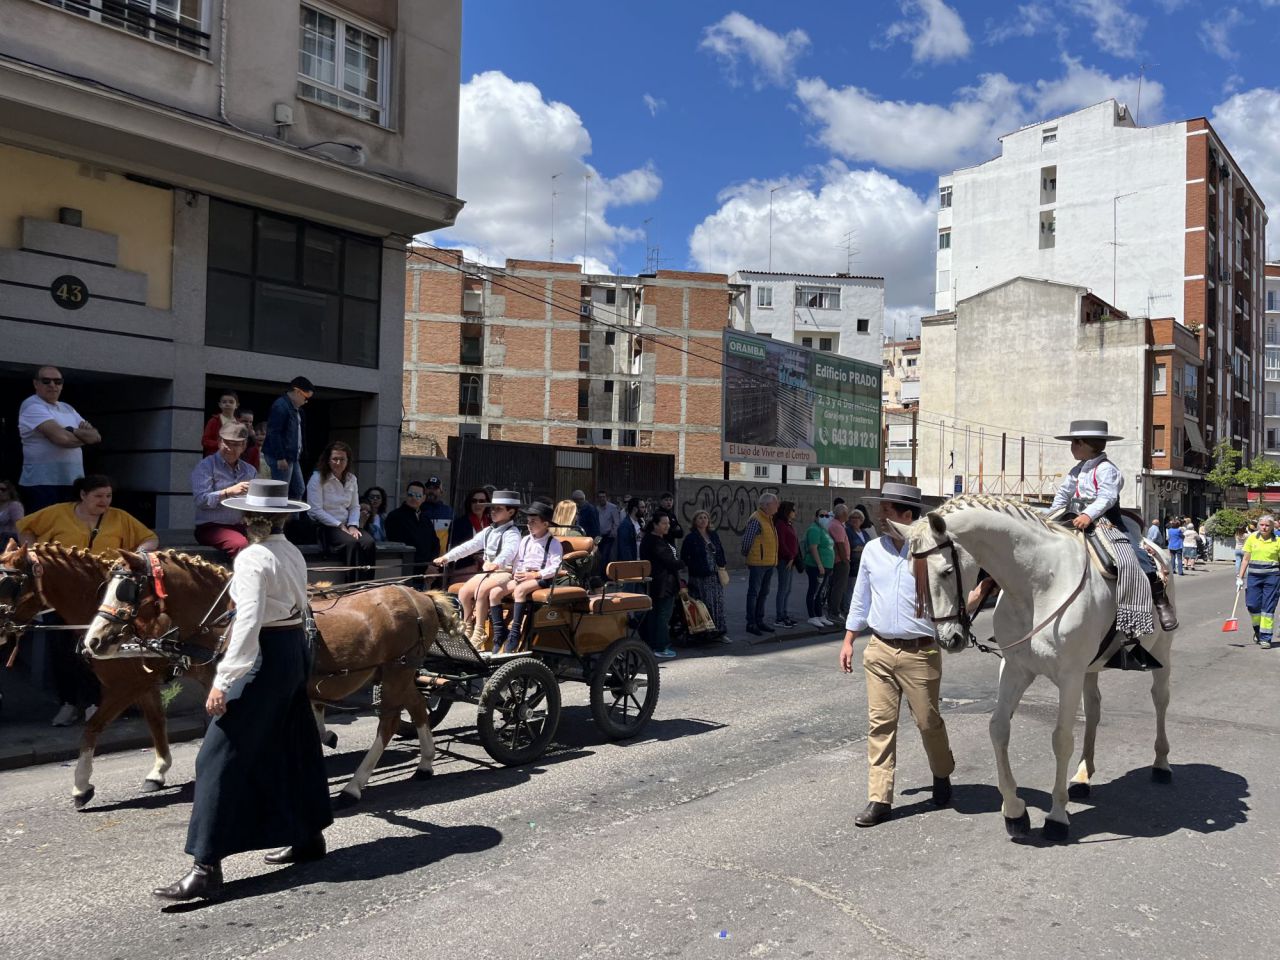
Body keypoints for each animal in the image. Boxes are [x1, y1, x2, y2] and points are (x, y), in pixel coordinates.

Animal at [0, 537, 207, 808]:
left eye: (7, 583)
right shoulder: (143, 683)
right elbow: (155, 721)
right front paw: (158, 771)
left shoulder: (126, 686)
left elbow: (92, 727)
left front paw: (81, 786)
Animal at [81, 547, 460, 803]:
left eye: (127, 590)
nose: (92, 641)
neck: (229, 623)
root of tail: (420, 595)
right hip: (400, 670)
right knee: (418, 706)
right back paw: (425, 763)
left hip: (397, 669)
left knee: (390, 721)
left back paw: (355, 785)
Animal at [896, 496, 1172, 839]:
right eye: (912, 573)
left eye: (947, 571)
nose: (949, 639)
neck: (1039, 583)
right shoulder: (1015, 668)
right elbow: (998, 728)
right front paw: (1015, 811)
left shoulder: (1068, 677)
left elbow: (1061, 739)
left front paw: (1057, 817)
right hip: (1090, 669)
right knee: (1094, 710)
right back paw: (1083, 776)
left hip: (1160, 652)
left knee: (1160, 700)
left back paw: (1161, 764)